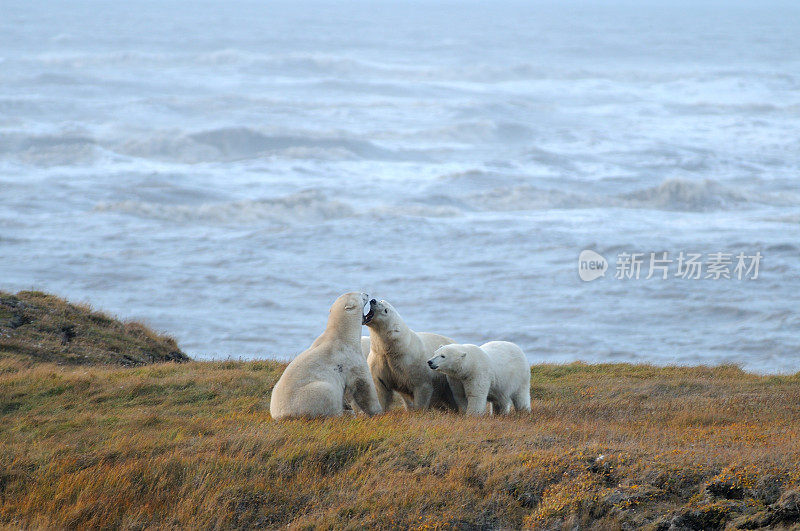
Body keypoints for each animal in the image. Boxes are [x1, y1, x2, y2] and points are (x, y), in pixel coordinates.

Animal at [268, 290, 382, 420]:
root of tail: (280, 415)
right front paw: (377, 412)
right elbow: (363, 385)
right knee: (328, 393)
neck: (342, 335)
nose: (367, 294)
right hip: (310, 395)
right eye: (360, 295)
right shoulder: (350, 357)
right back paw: (345, 414)